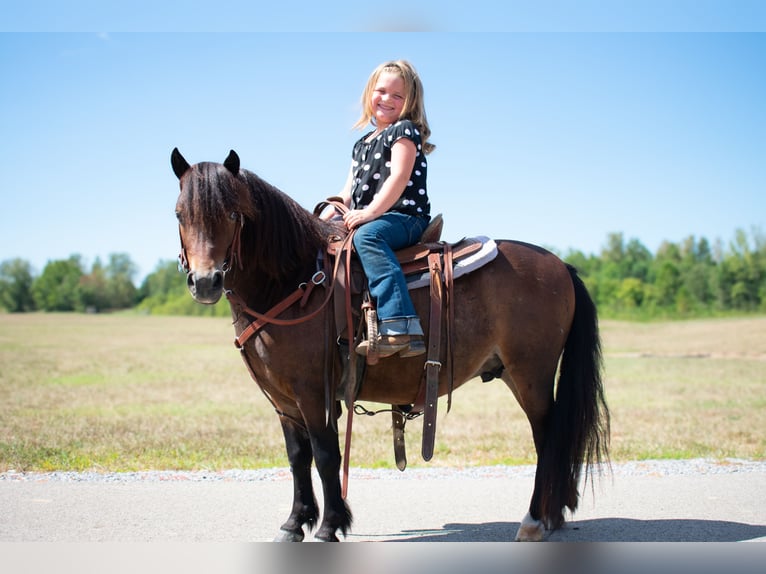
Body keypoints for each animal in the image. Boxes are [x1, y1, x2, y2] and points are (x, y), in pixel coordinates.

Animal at [171, 150, 608, 544]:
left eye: (232, 214)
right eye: (179, 214)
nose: (205, 281)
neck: (294, 282)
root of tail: (561, 266)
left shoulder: (313, 392)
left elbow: (326, 455)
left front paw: (330, 526)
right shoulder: (283, 398)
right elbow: (297, 457)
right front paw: (295, 523)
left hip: (530, 375)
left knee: (548, 438)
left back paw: (535, 520)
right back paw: (554, 514)